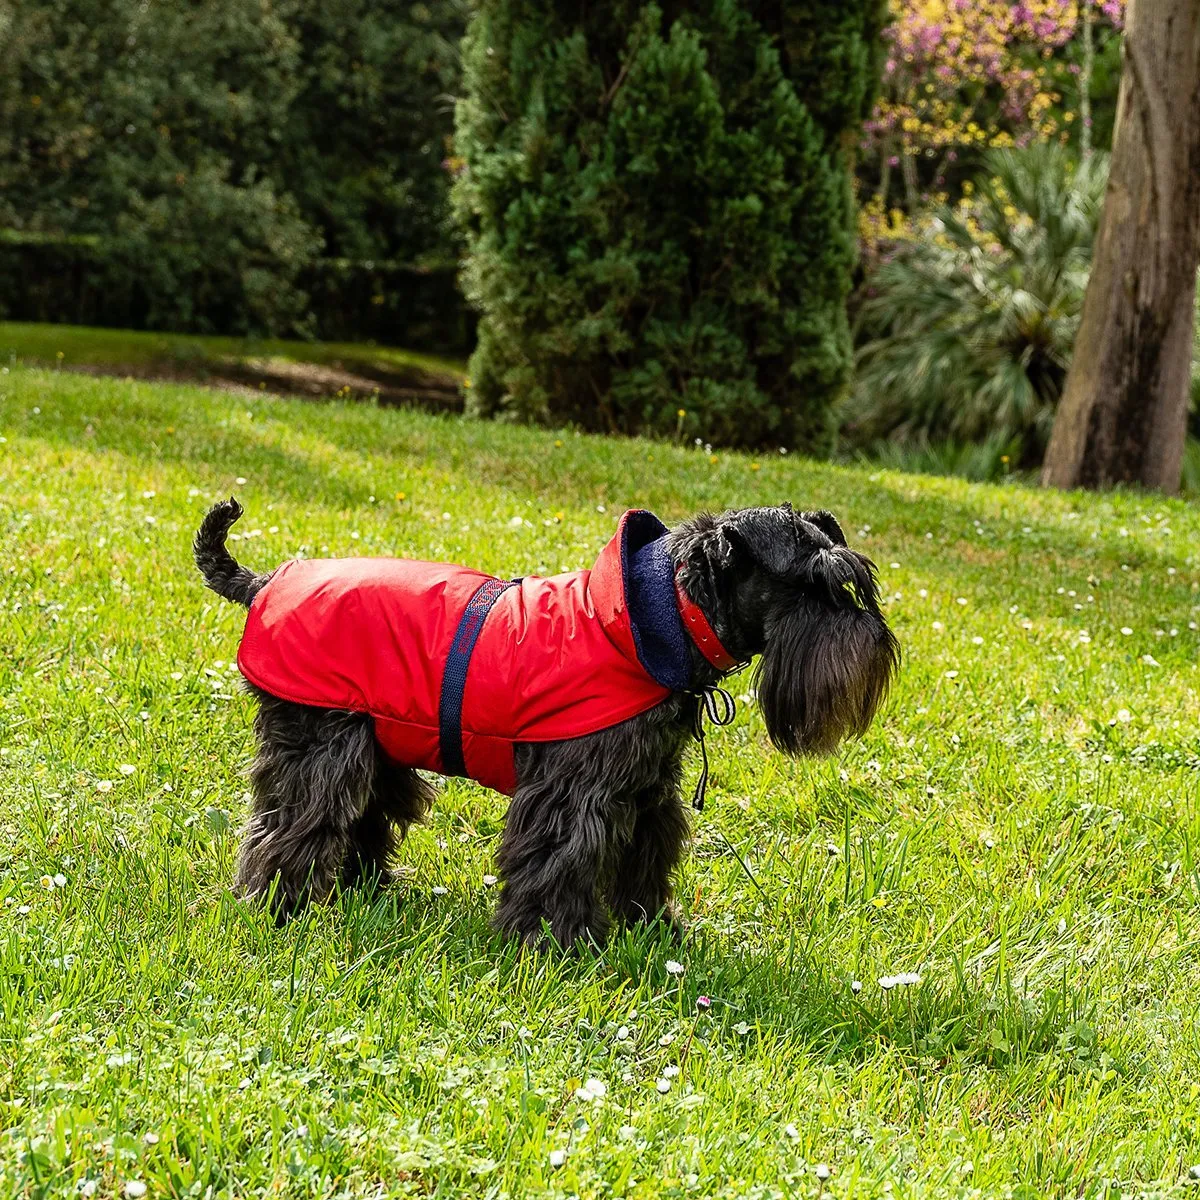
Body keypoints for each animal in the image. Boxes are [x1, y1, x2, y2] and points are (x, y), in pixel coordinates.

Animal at [192, 496, 897, 945]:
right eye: (812, 584)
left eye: (855, 583)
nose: (871, 636)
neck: (656, 617)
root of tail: (266, 583)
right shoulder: (573, 796)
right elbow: (560, 862)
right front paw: (555, 944)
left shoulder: (647, 789)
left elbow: (646, 855)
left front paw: (652, 929)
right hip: (320, 745)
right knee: (289, 826)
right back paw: (280, 906)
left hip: (379, 743)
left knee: (361, 814)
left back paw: (369, 890)